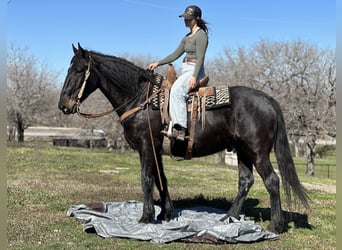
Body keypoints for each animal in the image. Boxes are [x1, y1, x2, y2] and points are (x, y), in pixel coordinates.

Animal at [58, 44, 310, 233]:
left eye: (79, 70)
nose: (64, 106)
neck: (140, 99)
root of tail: (269, 100)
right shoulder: (156, 150)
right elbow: (161, 180)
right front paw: (166, 214)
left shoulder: (146, 147)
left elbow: (146, 179)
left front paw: (146, 218)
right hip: (243, 151)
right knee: (245, 181)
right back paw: (228, 218)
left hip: (257, 152)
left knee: (272, 181)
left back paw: (275, 226)